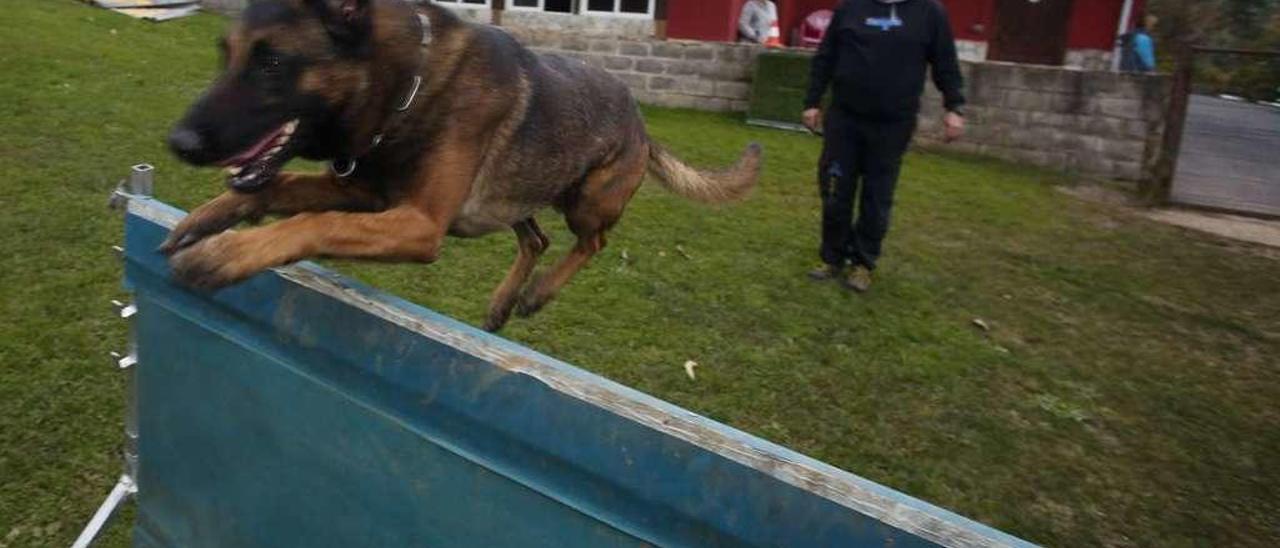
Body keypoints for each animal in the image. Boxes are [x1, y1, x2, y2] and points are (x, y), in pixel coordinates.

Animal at [160, 0, 757, 330]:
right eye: (226, 55)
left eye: (272, 63)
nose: (178, 142)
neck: (407, 85)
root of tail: (643, 125)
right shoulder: (365, 193)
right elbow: (278, 185)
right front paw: (212, 216)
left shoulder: (419, 223)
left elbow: (312, 223)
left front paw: (227, 254)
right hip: (519, 191)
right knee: (536, 238)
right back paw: (504, 300)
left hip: (586, 200)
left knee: (592, 242)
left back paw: (538, 294)